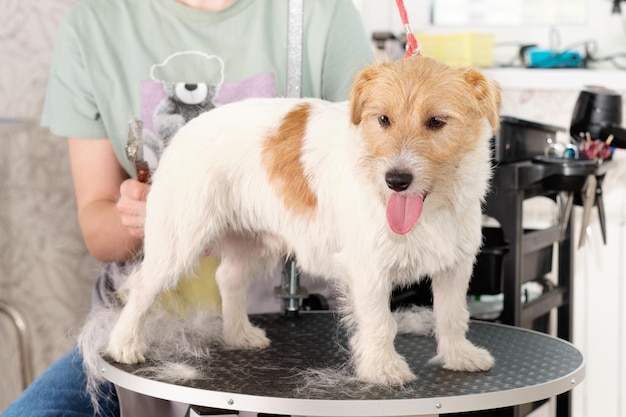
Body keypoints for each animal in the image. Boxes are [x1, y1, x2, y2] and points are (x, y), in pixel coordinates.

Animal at [106, 56, 498, 384]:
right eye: (383, 119)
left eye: (436, 122)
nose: (396, 180)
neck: (431, 208)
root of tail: (185, 131)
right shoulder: (369, 270)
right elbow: (380, 322)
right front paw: (382, 367)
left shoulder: (456, 266)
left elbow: (452, 315)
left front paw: (458, 356)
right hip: (178, 240)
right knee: (141, 286)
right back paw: (124, 343)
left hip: (251, 241)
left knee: (228, 277)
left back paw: (239, 334)